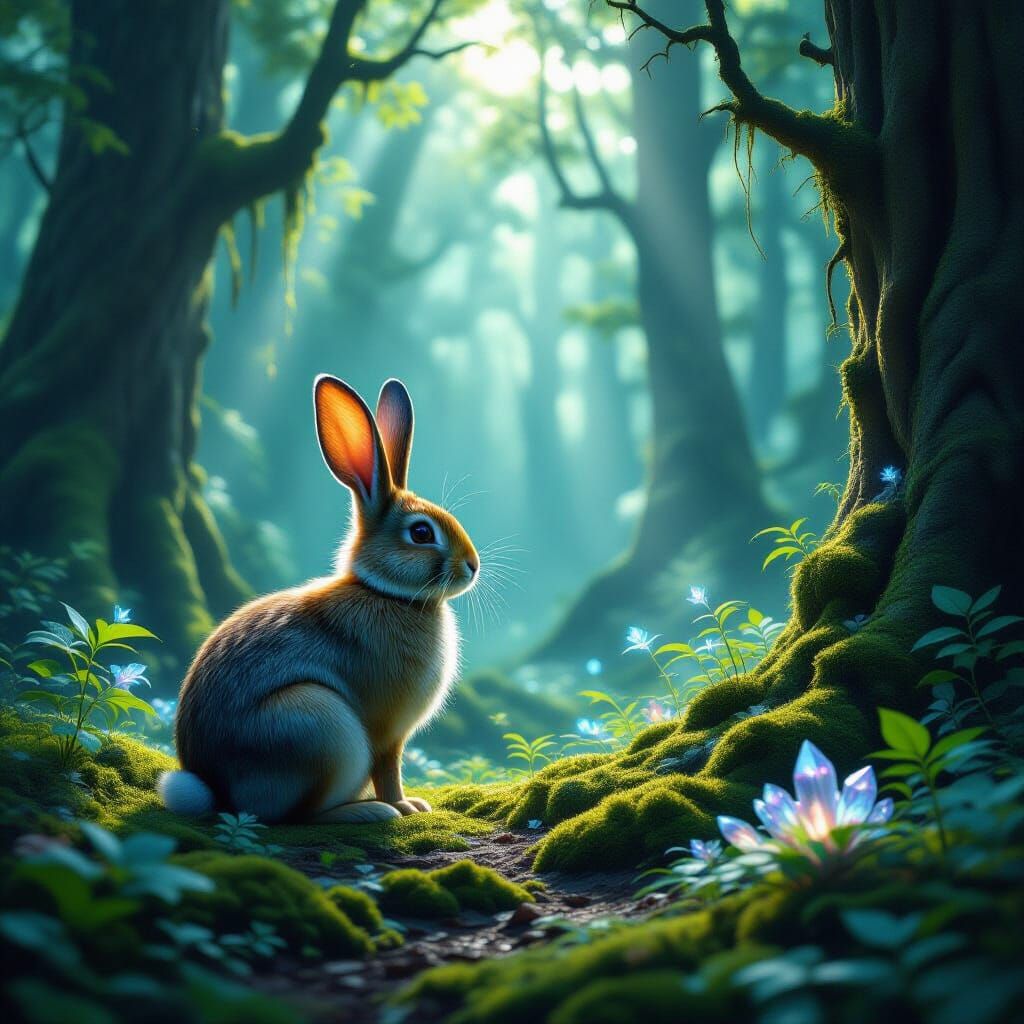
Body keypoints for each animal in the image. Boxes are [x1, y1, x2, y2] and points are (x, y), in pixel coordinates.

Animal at [157, 375, 479, 824]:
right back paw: (370, 812)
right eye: (421, 533)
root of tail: (219, 792)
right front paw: (406, 805)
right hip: (318, 726)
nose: (473, 566)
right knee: (299, 816)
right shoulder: (387, 732)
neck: (386, 593)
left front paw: (412, 804)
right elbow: (389, 768)